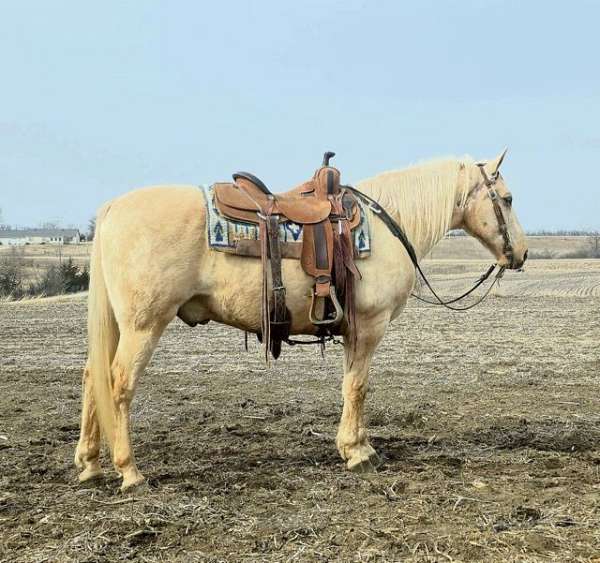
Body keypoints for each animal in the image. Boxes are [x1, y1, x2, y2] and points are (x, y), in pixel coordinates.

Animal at [74, 150, 524, 490]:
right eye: (507, 198)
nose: (520, 254)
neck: (387, 226)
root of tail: (113, 208)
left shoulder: (353, 331)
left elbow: (352, 386)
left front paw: (357, 445)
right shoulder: (369, 326)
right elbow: (358, 387)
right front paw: (357, 452)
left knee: (92, 376)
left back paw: (91, 463)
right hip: (144, 325)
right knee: (118, 383)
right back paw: (130, 472)